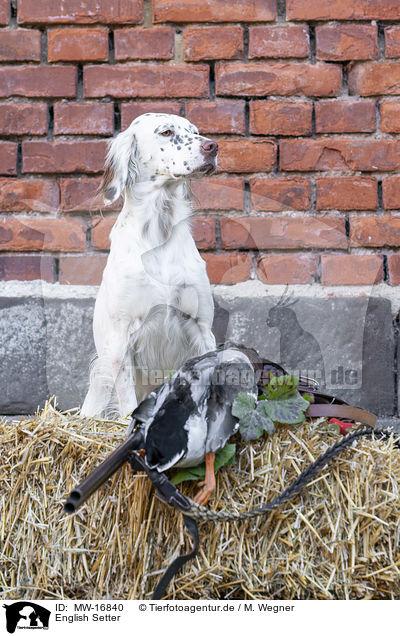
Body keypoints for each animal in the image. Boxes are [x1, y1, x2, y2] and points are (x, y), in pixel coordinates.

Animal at [81, 113, 217, 418]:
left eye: (195, 131)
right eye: (166, 132)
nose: (213, 147)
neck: (159, 232)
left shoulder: (202, 327)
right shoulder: (121, 339)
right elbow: (129, 401)